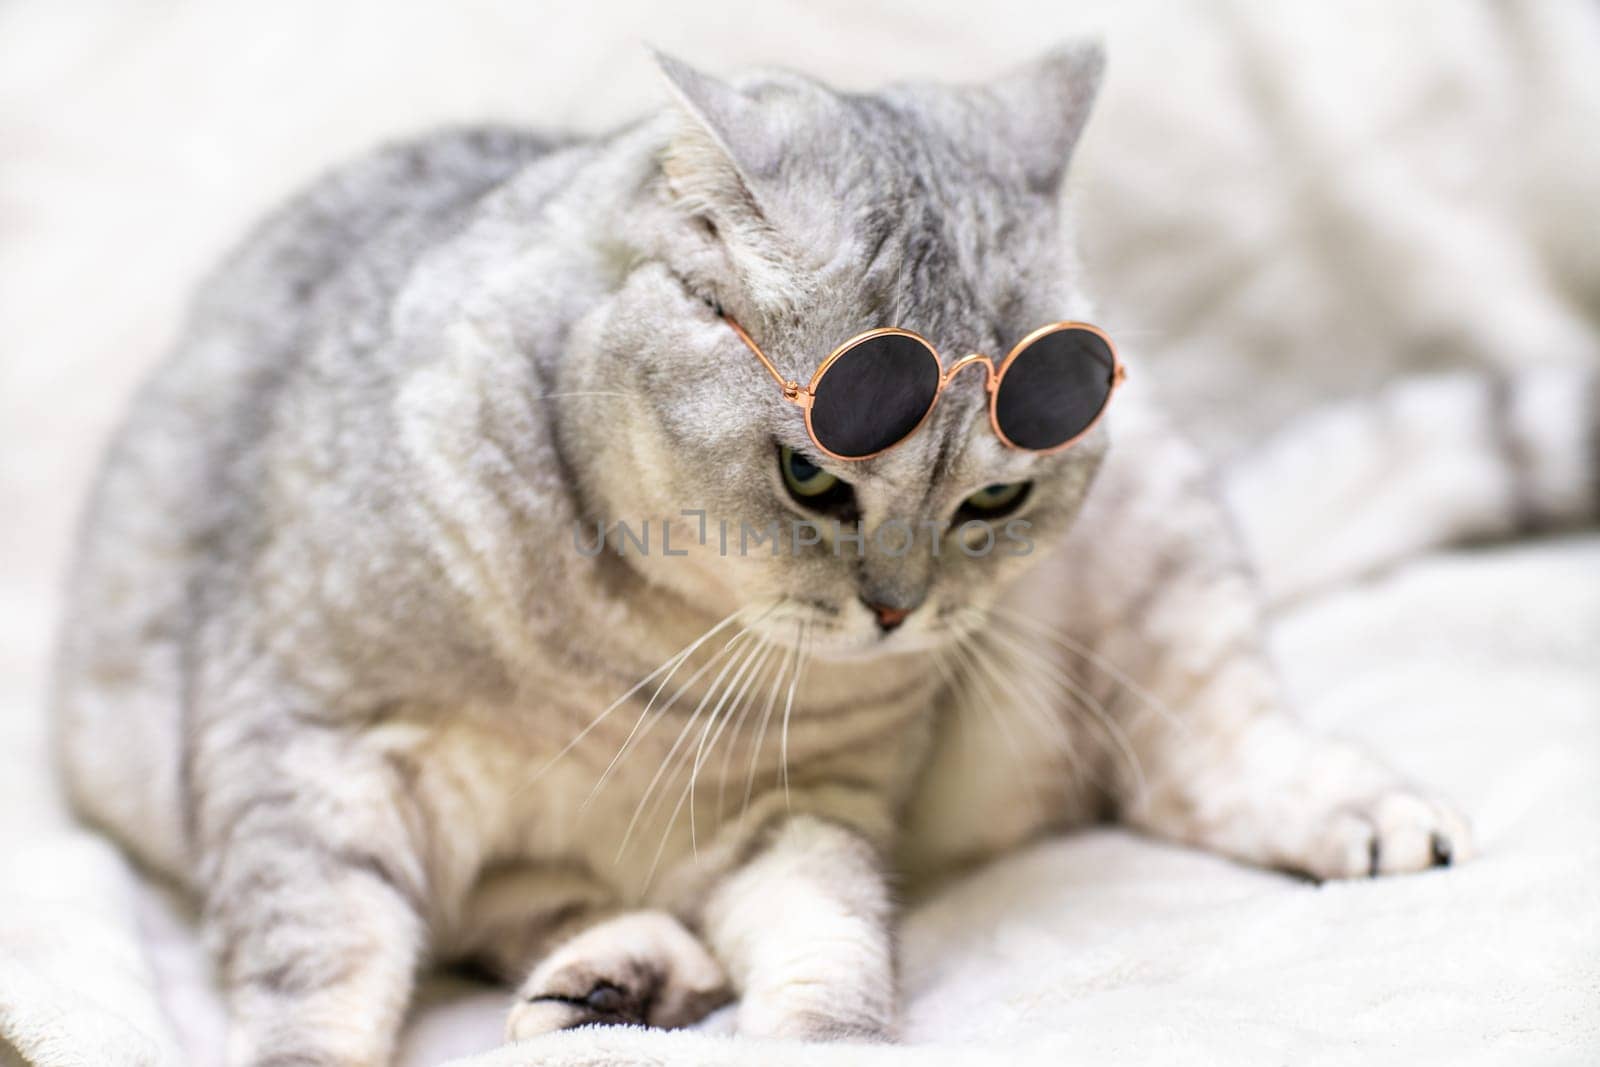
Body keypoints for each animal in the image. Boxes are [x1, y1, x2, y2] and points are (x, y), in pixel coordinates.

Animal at [56, 43, 1593, 1067]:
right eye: (811, 477)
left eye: (995, 500)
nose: (901, 613)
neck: (627, 652)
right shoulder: (307, 751)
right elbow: (316, 963)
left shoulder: (802, 800)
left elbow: (829, 942)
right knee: (536, 911)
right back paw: (613, 980)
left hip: (1167, 552)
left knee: (1201, 754)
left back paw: (1364, 810)